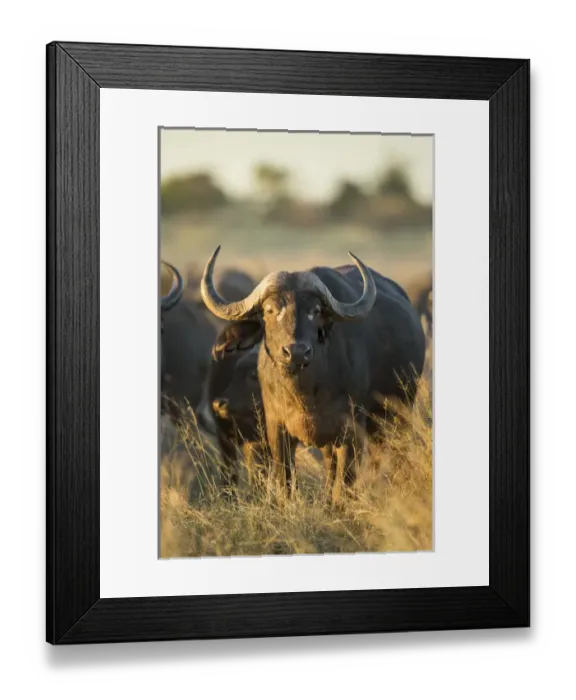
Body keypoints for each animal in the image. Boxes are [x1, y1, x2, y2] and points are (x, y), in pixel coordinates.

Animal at [200, 247, 426, 502]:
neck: (305, 394)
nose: (296, 352)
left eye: (315, 310)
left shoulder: (351, 431)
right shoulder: (276, 430)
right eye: (269, 310)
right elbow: (285, 483)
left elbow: (344, 487)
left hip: (397, 417)